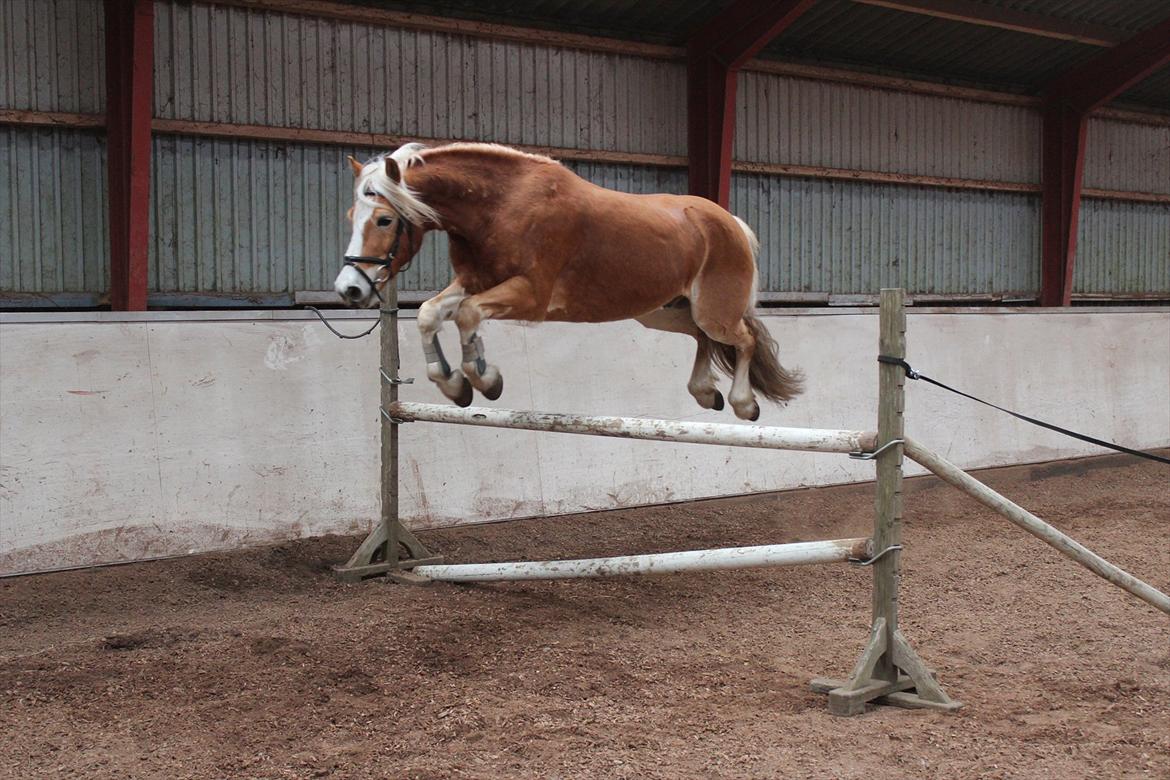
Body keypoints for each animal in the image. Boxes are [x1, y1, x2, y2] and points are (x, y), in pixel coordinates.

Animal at [334, 142, 800, 418]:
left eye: (384, 219)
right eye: (350, 215)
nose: (350, 289)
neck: (501, 205)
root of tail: (731, 222)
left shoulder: (530, 296)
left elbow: (467, 315)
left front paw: (484, 379)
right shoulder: (477, 281)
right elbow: (432, 314)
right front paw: (454, 385)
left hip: (712, 311)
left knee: (743, 340)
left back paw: (743, 404)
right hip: (662, 312)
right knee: (703, 338)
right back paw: (705, 392)